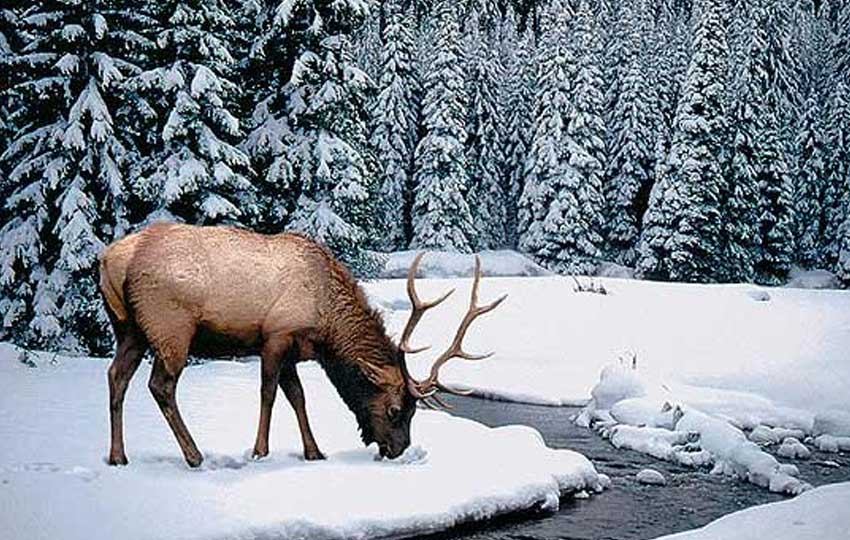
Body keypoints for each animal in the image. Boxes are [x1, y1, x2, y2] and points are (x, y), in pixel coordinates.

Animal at [102, 221, 506, 466]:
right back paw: (194, 455)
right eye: (396, 410)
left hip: (129, 329)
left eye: (413, 411)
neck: (326, 324)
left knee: (116, 376)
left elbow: (298, 397)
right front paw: (260, 451)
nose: (398, 449)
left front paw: (314, 452)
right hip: (171, 328)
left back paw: (118, 456)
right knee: (160, 385)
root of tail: (109, 260)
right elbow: (268, 393)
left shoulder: (294, 351)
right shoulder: (275, 336)